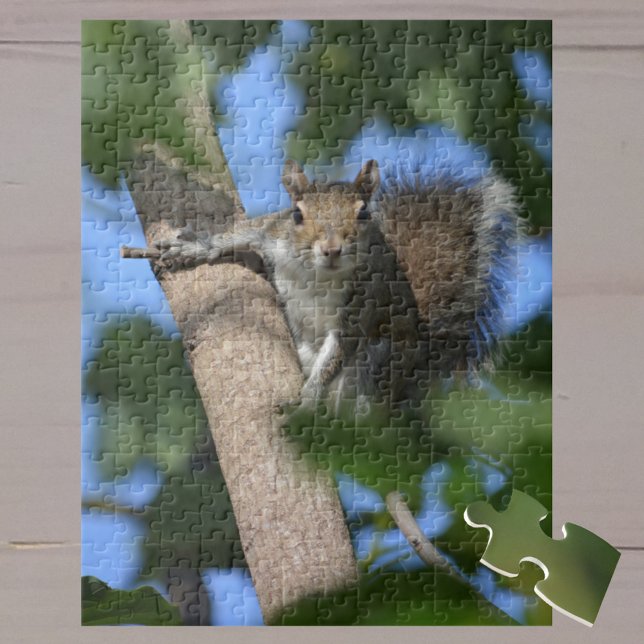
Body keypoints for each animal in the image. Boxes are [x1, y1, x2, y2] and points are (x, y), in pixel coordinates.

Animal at [151, 159, 521, 412]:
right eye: (297, 215)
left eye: (363, 214)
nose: (331, 249)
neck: (319, 273)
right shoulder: (274, 233)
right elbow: (241, 233)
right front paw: (195, 247)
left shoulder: (362, 303)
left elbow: (338, 351)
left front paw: (308, 399)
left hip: (379, 360)